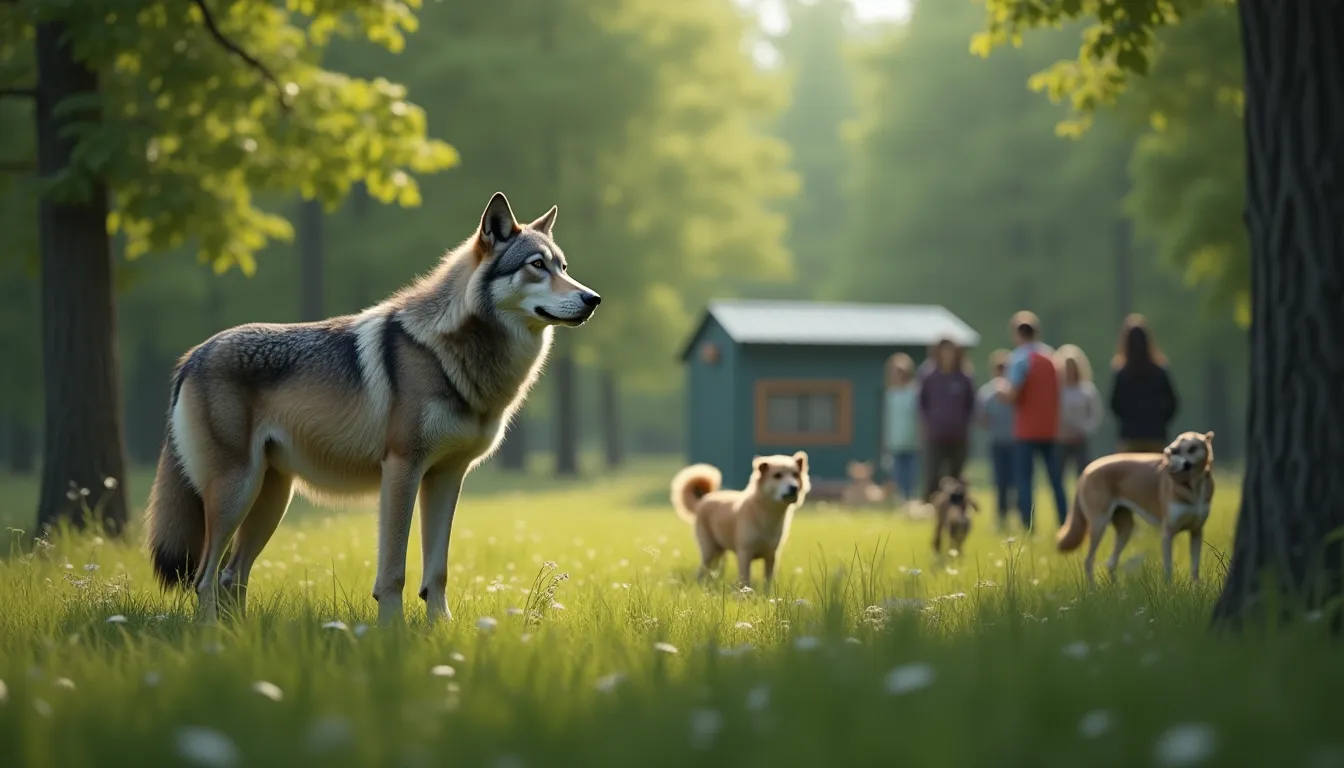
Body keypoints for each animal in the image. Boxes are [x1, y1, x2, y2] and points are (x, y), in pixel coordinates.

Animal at [143, 192, 600, 625]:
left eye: (563, 266)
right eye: (537, 265)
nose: (593, 298)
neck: (455, 352)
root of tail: (193, 356)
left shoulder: (447, 478)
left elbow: (437, 571)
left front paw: (442, 628)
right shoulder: (401, 469)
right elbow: (394, 571)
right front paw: (392, 632)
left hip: (271, 499)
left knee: (231, 575)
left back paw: (239, 635)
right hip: (237, 493)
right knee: (204, 578)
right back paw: (213, 638)